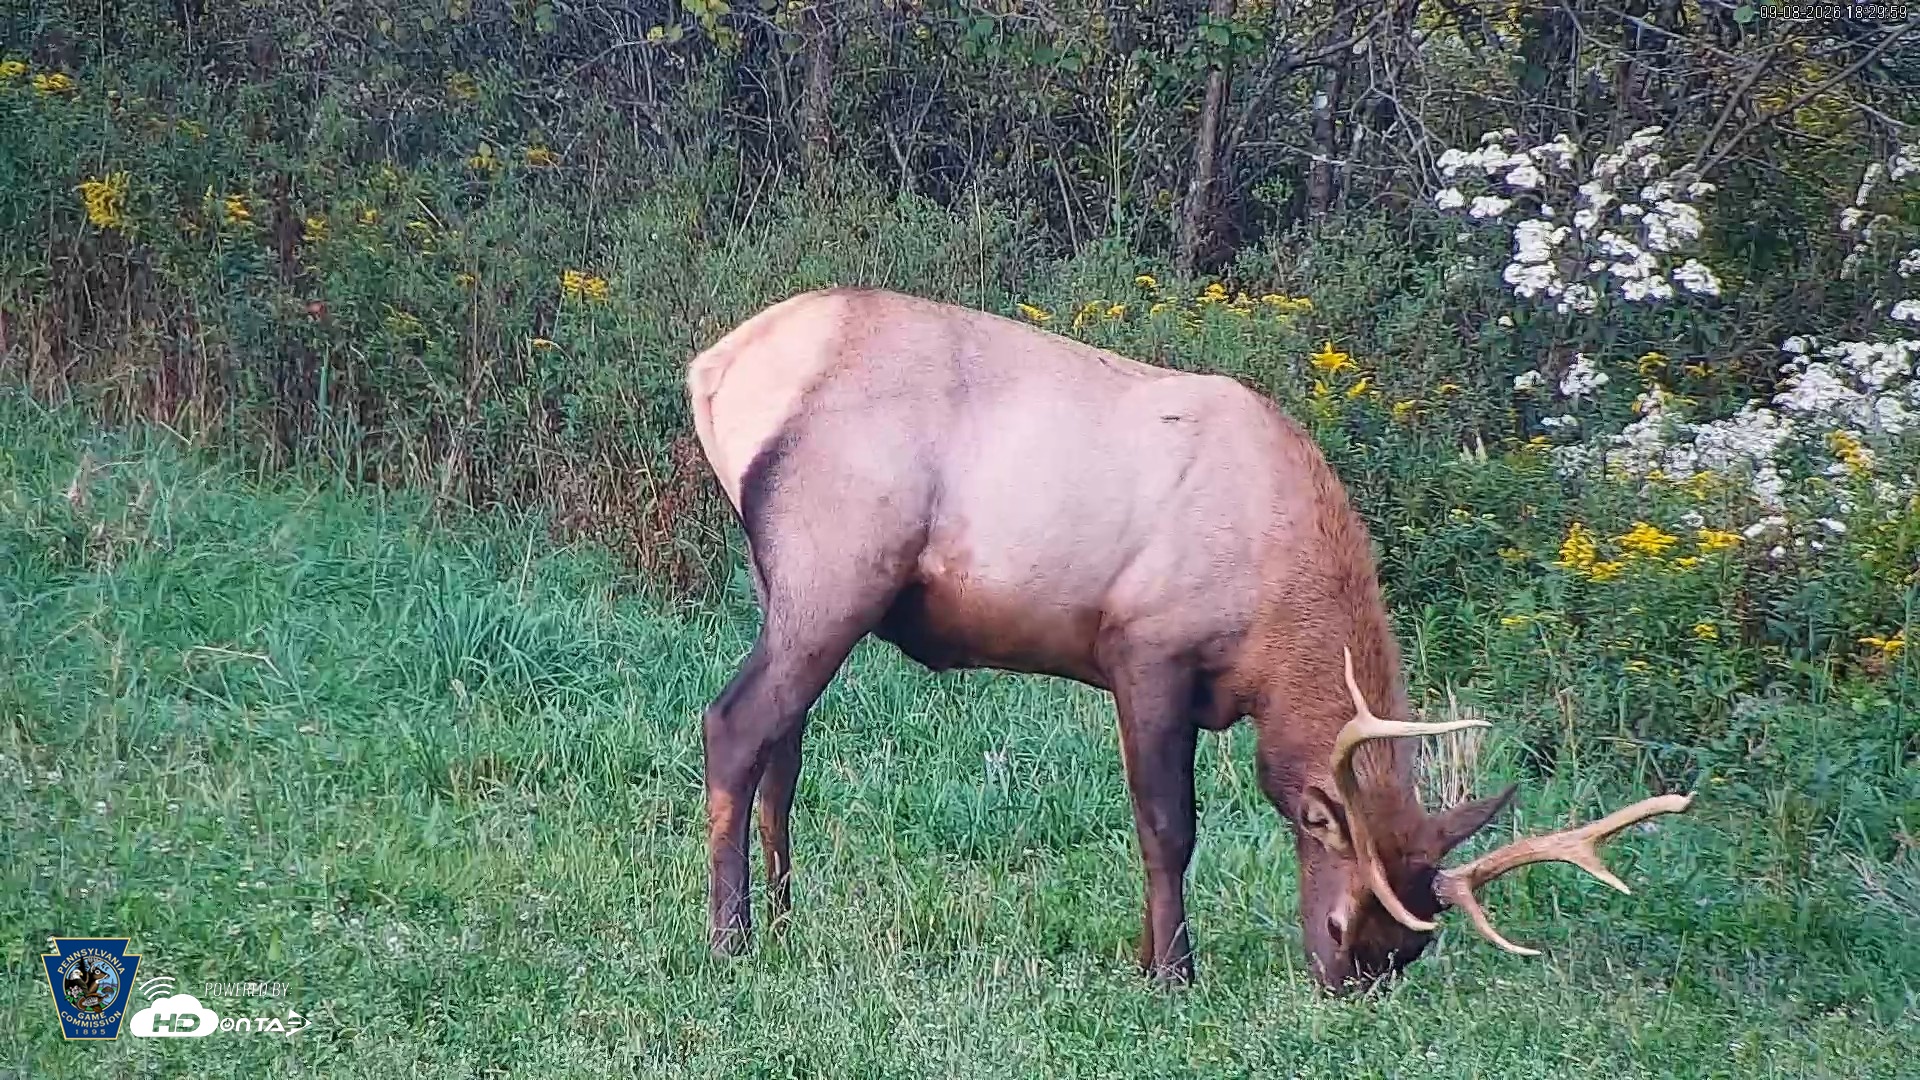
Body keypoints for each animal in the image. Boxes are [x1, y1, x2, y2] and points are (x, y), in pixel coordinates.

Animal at [684, 286, 1694, 993]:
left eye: (1408, 953)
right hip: (835, 563)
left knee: (785, 748)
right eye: (1346, 929)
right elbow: (1169, 826)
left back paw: (786, 918)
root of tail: (713, 372)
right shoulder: (1147, 647)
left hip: (788, 583)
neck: (1277, 618)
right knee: (733, 724)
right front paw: (1171, 971)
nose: (1347, 988)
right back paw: (731, 939)